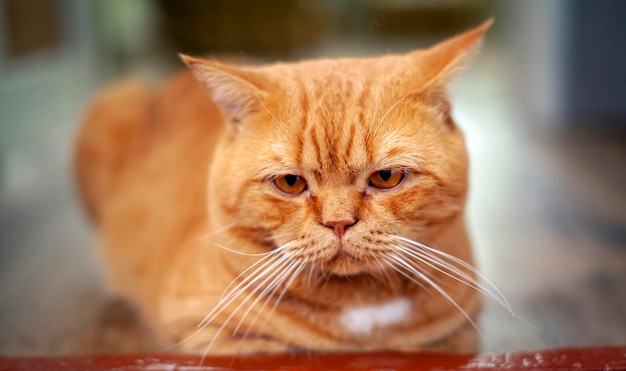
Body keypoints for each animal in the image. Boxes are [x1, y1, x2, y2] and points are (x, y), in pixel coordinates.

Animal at [75, 19, 500, 354]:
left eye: (386, 178)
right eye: (291, 183)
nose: (339, 223)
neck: (362, 311)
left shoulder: (457, 335)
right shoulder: (204, 333)